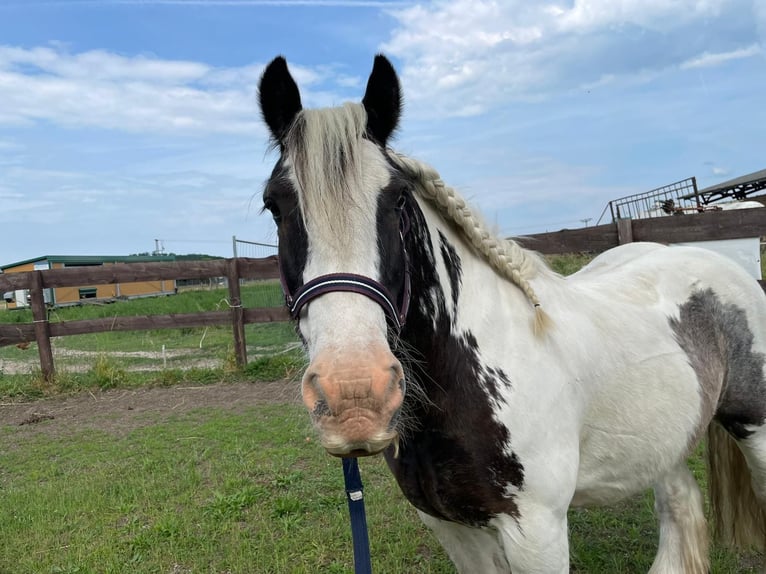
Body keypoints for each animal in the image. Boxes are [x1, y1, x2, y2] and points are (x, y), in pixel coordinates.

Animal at [256, 55, 766, 574]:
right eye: (273, 204)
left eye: (397, 198)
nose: (354, 395)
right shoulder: (451, 526)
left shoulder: (537, 533)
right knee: (679, 500)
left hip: (756, 431)